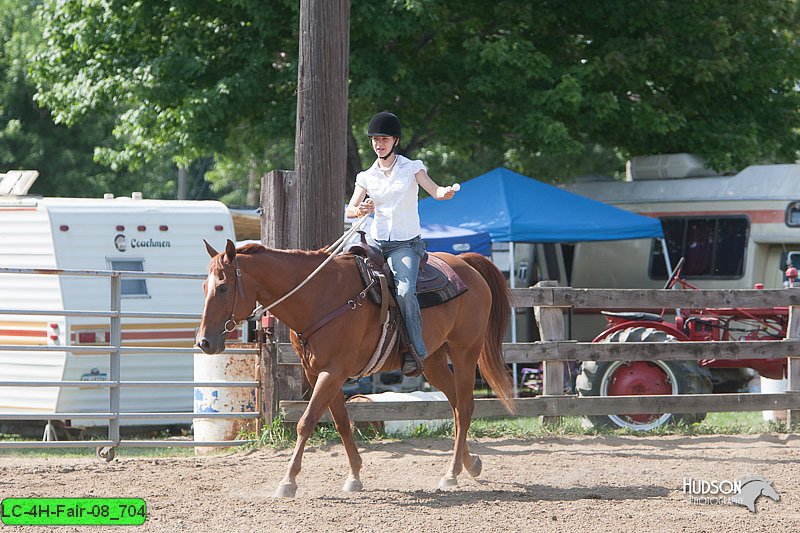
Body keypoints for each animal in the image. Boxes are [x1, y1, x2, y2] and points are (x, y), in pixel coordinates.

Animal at [197, 239, 516, 496]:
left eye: (223, 287)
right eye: (204, 286)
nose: (204, 342)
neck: (318, 296)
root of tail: (466, 264)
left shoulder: (334, 371)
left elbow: (307, 421)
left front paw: (288, 481)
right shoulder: (319, 373)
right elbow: (341, 422)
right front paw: (354, 476)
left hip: (465, 353)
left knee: (465, 407)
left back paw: (451, 473)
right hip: (434, 362)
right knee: (456, 406)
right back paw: (469, 464)